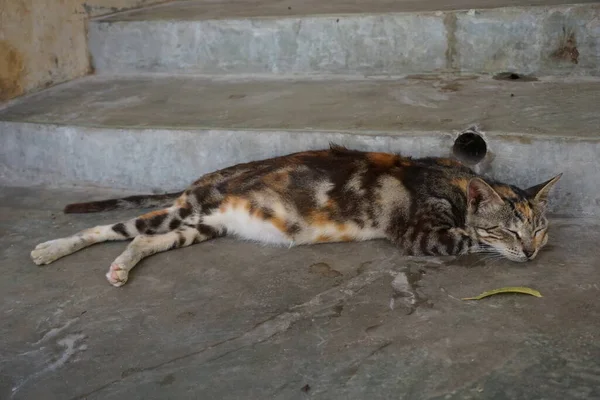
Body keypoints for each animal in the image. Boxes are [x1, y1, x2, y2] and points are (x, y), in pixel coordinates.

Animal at [30, 145, 560, 286]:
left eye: (539, 228)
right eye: (509, 230)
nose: (532, 253)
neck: (450, 181)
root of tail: (204, 178)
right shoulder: (422, 235)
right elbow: (470, 237)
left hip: (201, 227)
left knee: (141, 241)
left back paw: (120, 269)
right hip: (185, 211)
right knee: (108, 228)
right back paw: (49, 249)